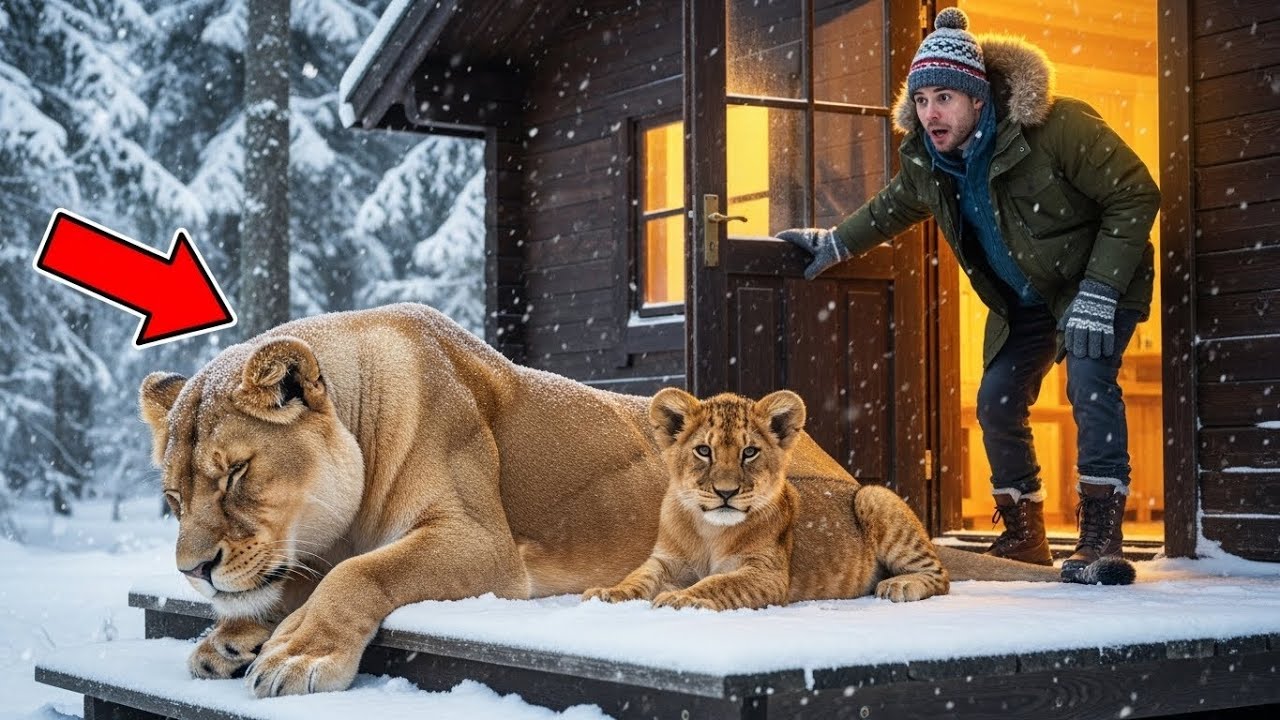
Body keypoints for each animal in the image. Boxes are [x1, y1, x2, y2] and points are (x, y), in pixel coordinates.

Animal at [140, 303, 1130, 698]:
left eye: (236, 473)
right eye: (170, 495)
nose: (192, 571)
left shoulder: (482, 546)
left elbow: (359, 574)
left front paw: (296, 654)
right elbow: (310, 574)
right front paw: (233, 635)